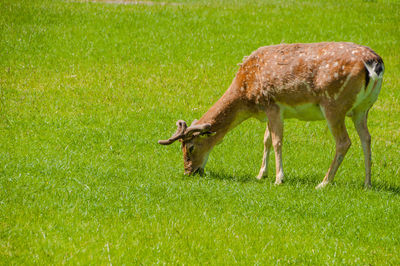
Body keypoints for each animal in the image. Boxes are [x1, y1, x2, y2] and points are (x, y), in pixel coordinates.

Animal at [159, 41, 384, 188]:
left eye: (190, 147)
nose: (189, 171)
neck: (246, 93)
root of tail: (374, 64)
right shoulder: (269, 110)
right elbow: (266, 139)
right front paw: (261, 174)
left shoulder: (272, 103)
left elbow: (277, 141)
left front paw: (279, 179)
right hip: (362, 109)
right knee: (366, 138)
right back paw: (367, 183)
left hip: (333, 104)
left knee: (344, 142)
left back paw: (324, 182)